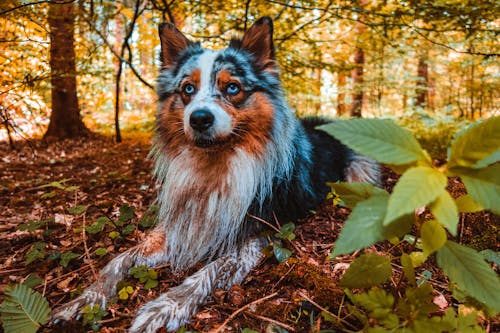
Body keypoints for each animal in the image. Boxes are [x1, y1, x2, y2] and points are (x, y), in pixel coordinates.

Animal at [51, 16, 378, 330]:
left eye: (232, 87)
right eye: (187, 89)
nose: (199, 119)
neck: (214, 168)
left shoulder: (256, 233)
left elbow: (211, 270)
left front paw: (166, 307)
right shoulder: (180, 224)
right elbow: (118, 260)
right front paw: (84, 300)